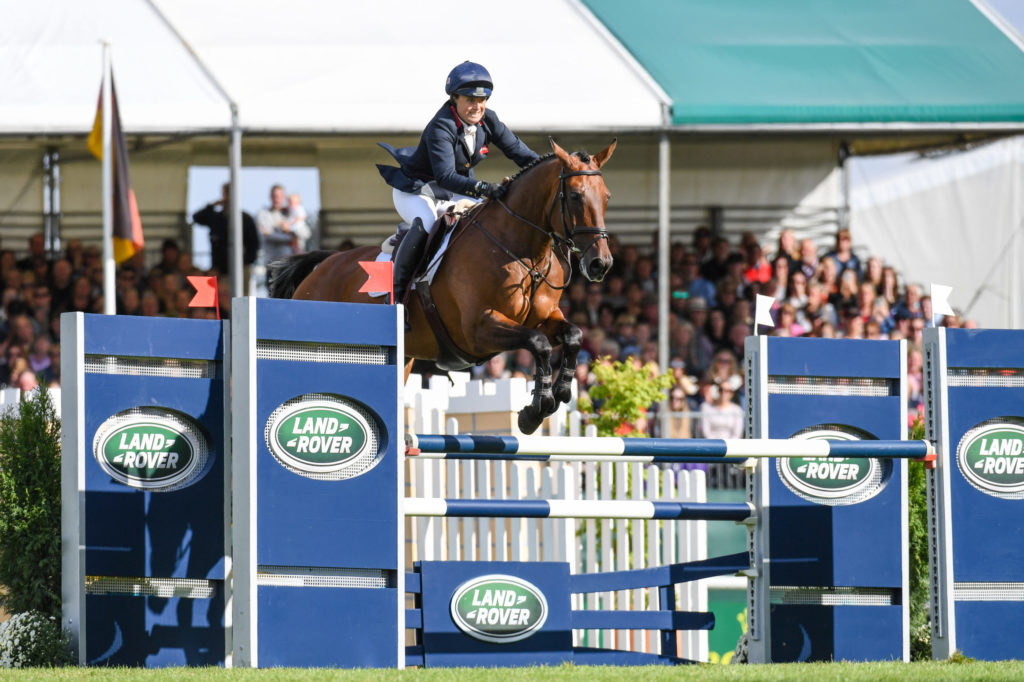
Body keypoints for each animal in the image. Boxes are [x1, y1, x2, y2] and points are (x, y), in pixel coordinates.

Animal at [268, 138, 610, 432]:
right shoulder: (479, 330)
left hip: (403, 359)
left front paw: (559, 393)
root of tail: (319, 268)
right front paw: (534, 411)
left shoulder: (543, 319)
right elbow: (538, 344)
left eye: (606, 197)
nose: (600, 264)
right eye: (576, 196)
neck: (523, 252)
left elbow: (573, 335)